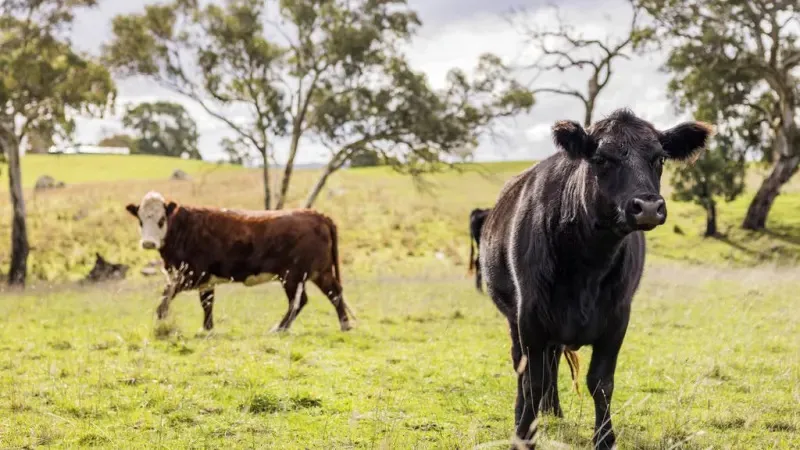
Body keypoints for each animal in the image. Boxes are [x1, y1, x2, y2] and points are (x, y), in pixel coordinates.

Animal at [478, 110, 708, 450]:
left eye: (660, 158)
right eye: (601, 158)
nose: (648, 206)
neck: (588, 263)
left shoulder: (617, 318)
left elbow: (600, 382)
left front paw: (604, 438)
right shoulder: (529, 316)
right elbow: (532, 380)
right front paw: (523, 434)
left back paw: (553, 411)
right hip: (514, 319)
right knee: (523, 365)